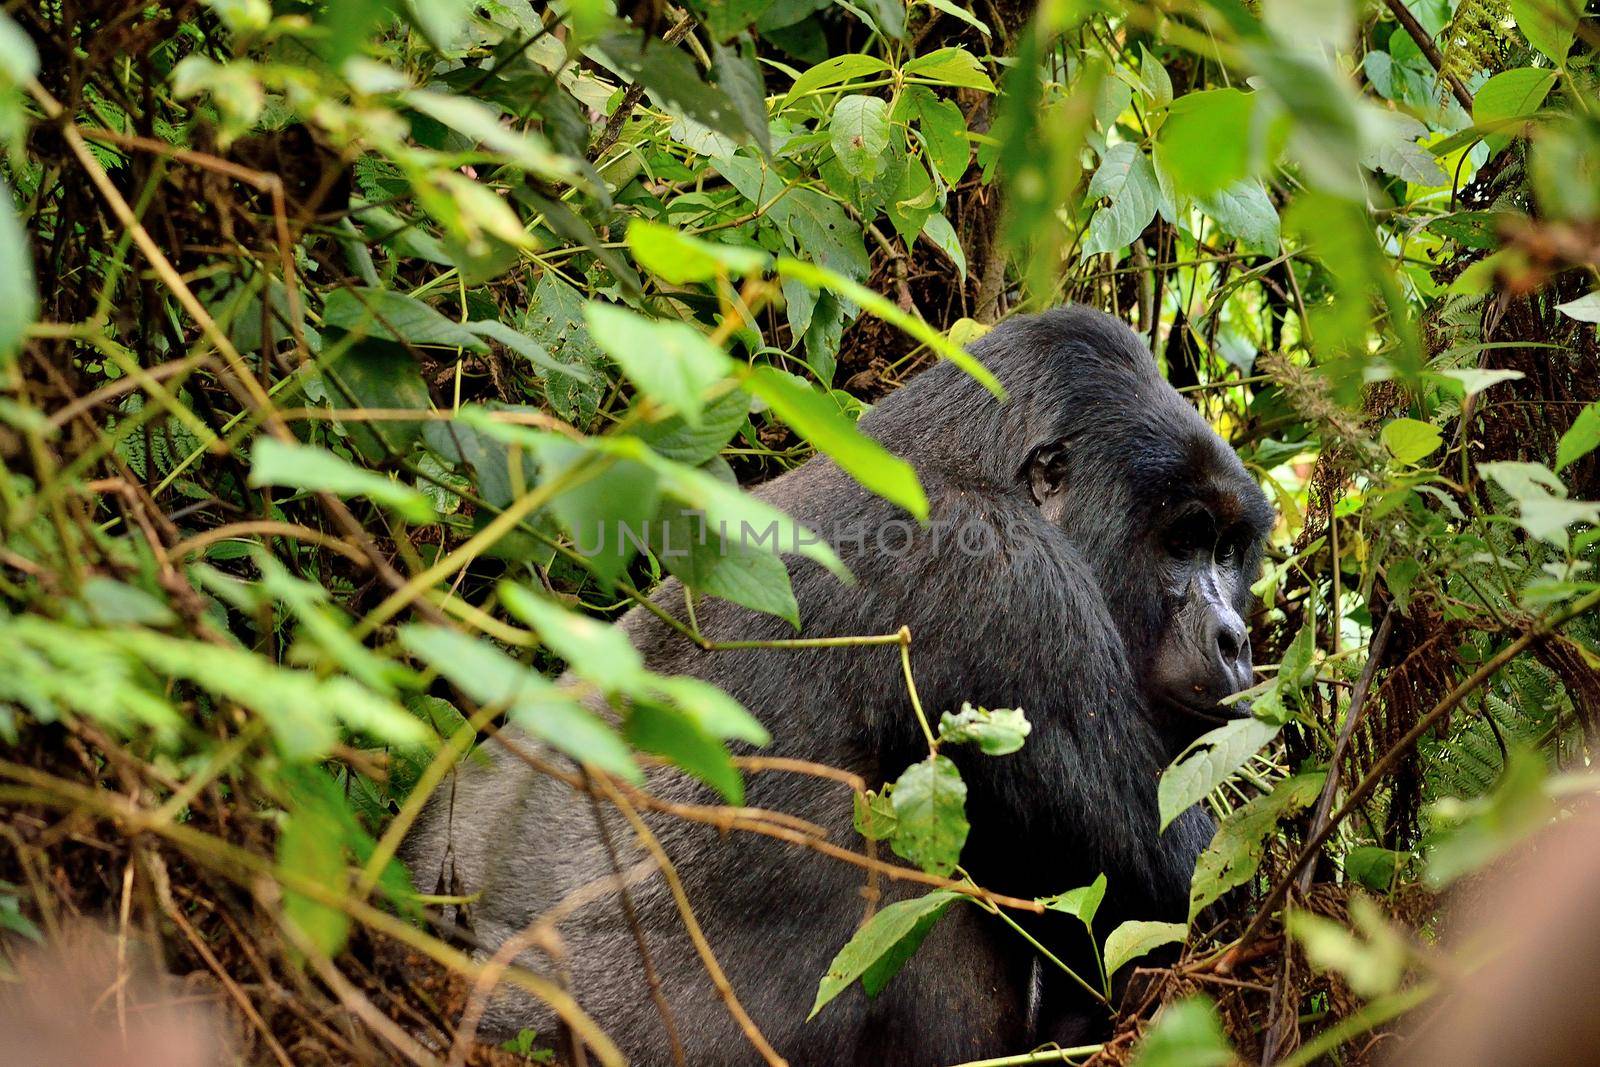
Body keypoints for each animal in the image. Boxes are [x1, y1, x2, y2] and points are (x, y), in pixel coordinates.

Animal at [403, 303, 1273, 1062]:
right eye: (1183, 540)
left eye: (1229, 551)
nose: (1235, 640)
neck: (961, 456)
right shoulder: (1007, 586)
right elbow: (1173, 894)